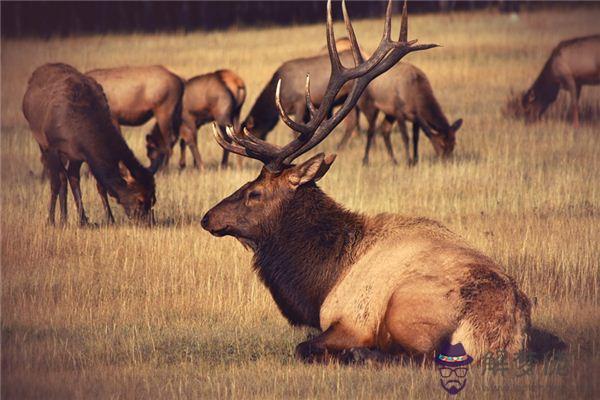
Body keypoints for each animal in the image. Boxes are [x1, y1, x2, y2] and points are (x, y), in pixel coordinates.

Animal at [23, 63, 156, 225]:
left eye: (153, 200)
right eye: (139, 200)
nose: (149, 223)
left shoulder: (82, 155)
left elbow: (99, 185)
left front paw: (108, 219)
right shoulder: (53, 147)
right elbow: (55, 183)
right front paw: (50, 221)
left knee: (70, 177)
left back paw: (74, 219)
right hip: (41, 142)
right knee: (60, 177)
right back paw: (62, 219)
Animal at [202, 0, 528, 362]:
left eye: (255, 192)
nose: (207, 217)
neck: (319, 282)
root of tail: (507, 333)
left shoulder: (350, 319)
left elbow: (304, 346)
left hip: (407, 305)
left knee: (415, 356)